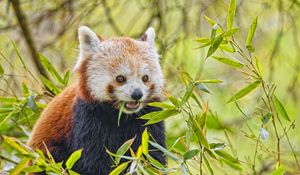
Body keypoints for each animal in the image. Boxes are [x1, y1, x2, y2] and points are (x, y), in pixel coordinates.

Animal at [27, 26, 166, 174]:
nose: (137, 94)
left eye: (145, 78)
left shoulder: (150, 118)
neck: (121, 117)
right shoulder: (88, 117)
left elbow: (152, 155)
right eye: (120, 78)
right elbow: (94, 162)